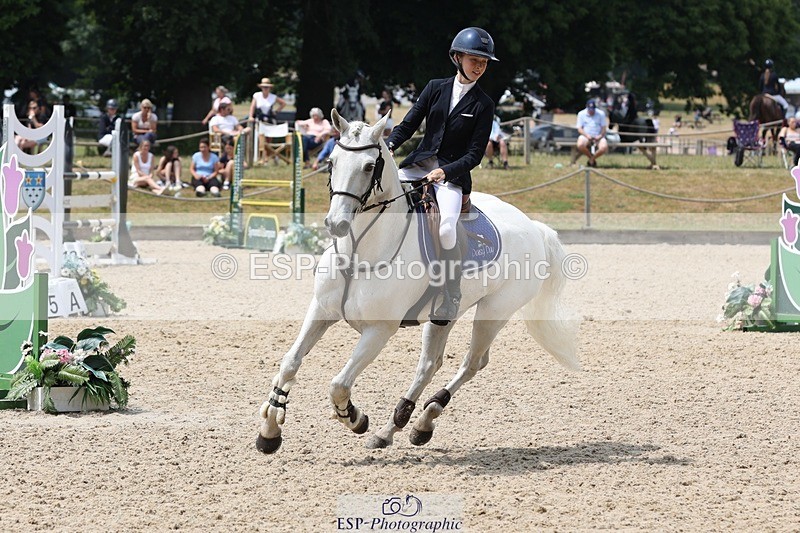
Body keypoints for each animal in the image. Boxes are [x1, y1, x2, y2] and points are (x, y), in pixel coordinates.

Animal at [255, 108, 580, 454]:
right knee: (430, 364)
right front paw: (270, 429)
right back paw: (398, 427)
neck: (360, 253)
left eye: (368, 166)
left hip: (494, 312)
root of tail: (533, 226)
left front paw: (354, 417)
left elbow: (339, 384)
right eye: (331, 162)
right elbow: (290, 362)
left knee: (472, 362)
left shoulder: (379, 330)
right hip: (444, 316)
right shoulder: (321, 310)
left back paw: (420, 419)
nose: (336, 224)